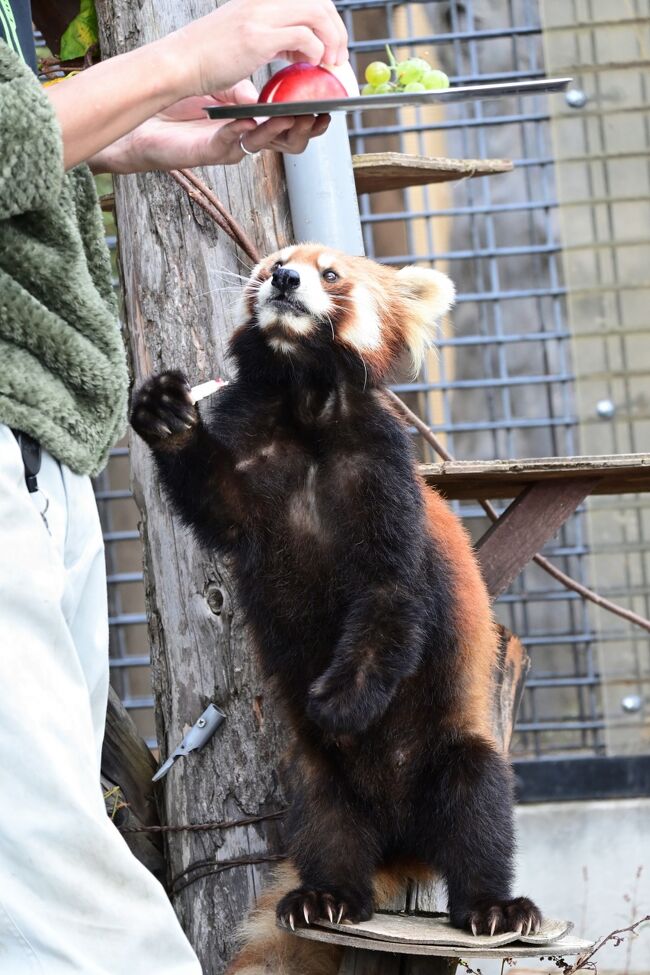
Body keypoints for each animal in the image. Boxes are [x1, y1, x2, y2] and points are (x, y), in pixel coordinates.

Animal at [129, 242, 540, 975]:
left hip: (458, 747)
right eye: (271, 263)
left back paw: (495, 906)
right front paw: (167, 419)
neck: (306, 404)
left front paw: (340, 703)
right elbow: (215, 500)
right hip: (315, 778)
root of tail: (397, 840)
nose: (285, 279)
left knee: (480, 811)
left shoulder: (384, 477)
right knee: (327, 825)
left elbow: (389, 600)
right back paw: (326, 898)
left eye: (330, 274)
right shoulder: (251, 466)